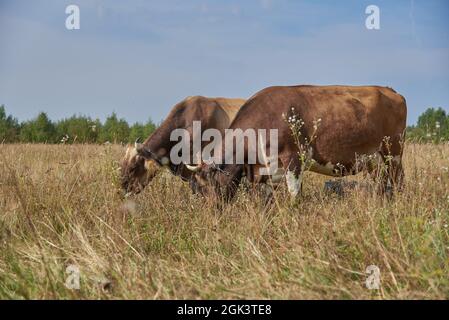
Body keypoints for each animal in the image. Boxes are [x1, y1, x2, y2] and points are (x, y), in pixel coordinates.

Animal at [186, 84, 406, 201]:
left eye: (210, 186)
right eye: (197, 190)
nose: (211, 217)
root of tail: (389, 90)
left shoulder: (293, 160)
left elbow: (294, 194)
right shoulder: (268, 171)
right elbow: (267, 200)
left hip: (393, 152)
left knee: (398, 180)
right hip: (374, 160)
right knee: (380, 183)